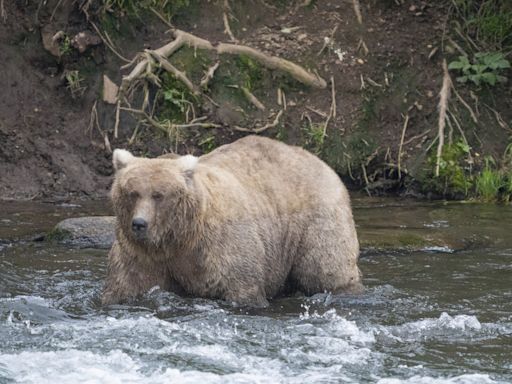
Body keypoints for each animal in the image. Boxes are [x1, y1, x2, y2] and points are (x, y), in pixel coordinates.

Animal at [102, 135, 362, 306]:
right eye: (132, 192)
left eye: (158, 195)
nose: (139, 224)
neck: (179, 238)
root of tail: (321, 162)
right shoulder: (142, 254)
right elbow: (127, 285)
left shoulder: (221, 247)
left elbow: (242, 287)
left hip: (316, 219)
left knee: (325, 268)